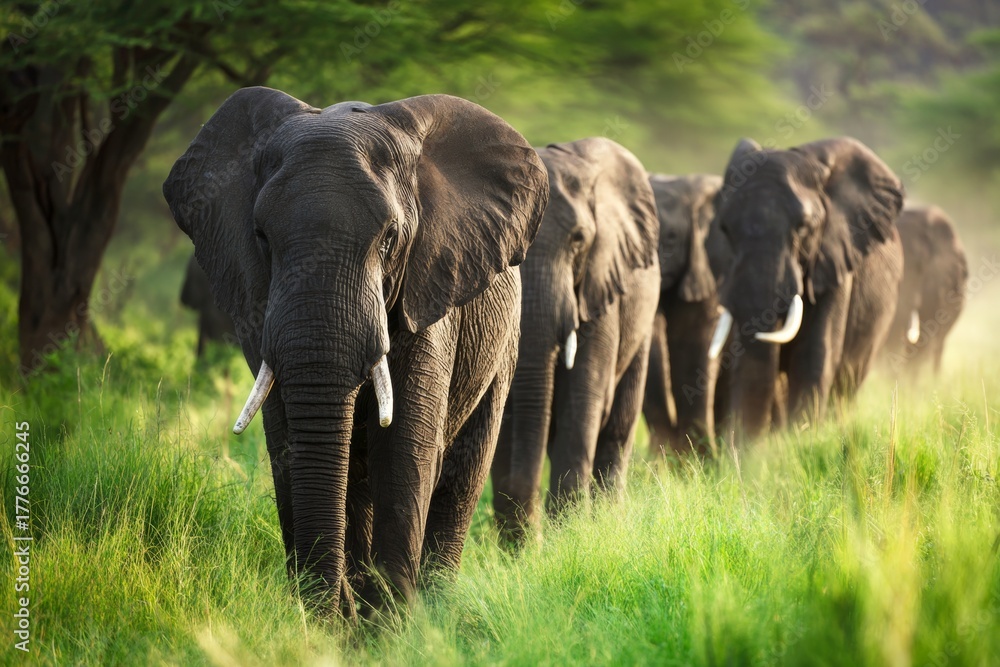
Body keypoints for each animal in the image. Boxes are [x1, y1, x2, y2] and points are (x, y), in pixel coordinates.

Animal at [163, 87, 549, 618]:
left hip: (503, 344)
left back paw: (432, 603)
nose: (327, 608)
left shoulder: (428, 292)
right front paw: (337, 622)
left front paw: (394, 622)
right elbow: (288, 443)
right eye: (261, 237)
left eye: (389, 239)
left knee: (465, 469)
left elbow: (404, 447)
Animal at [491, 137, 660, 544]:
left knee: (617, 430)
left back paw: (608, 520)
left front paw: (570, 535)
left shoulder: (601, 288)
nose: (531, 545)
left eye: (579, 240)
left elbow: (582, 402)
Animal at [708, 137, 905, 440]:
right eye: (725, 229)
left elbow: (815, 352)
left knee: (848, 381)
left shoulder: (836, 257)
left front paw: (801, 441)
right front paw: (752, 451)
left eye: (803, 228)